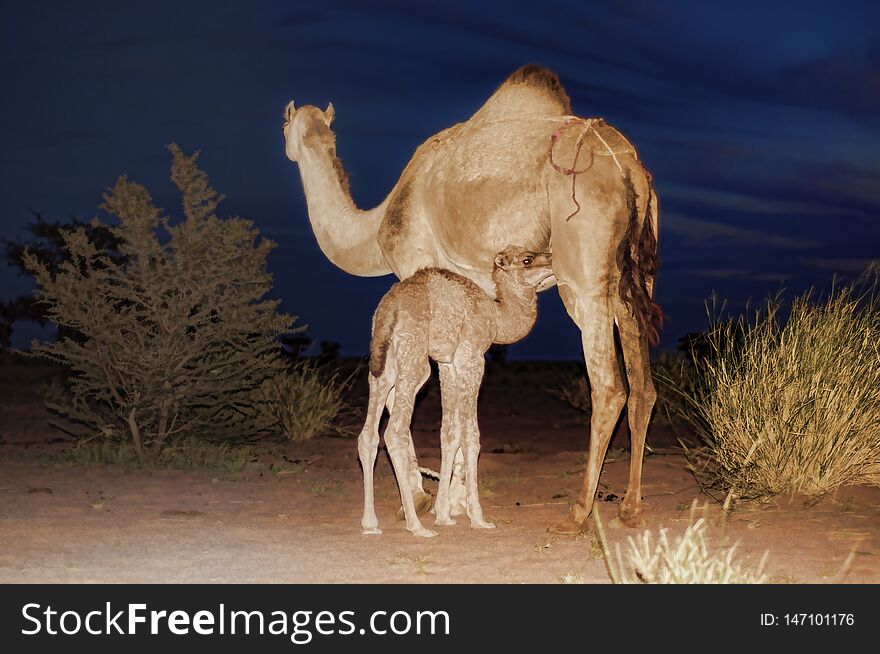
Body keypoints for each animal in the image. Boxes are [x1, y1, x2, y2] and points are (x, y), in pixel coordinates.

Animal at [358, 246, 552, 540]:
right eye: (527, 260)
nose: (552, 258)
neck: (496, 318)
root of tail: (390, 307)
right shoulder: (471, 358)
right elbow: (471, 436)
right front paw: (478, 518)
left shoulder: (448, 364)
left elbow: (449, 434)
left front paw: (444, 515)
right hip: (414, 355)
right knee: (394, 432)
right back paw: (416, 526)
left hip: (384, 363)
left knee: (368, 435)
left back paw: (370, 524)